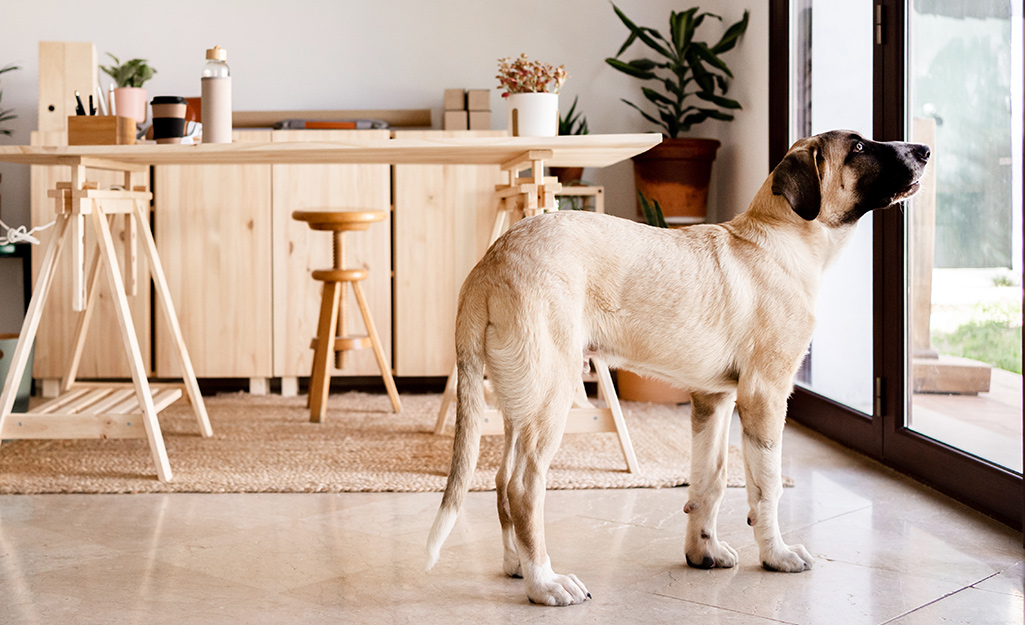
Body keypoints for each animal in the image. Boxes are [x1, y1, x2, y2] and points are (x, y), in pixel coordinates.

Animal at [424, 131, 930, 602]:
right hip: (552, 394)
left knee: (501, 481)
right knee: (524, 487)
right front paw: (776, 555)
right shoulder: (764, 395)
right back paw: (545, 584)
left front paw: (702, 552)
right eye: (859, 147)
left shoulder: (713, 399)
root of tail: (490, 262)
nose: (925, 150)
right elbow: (766, 487)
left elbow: (710, 482)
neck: (782, 238)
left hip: (520, 401)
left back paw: (517, 568)